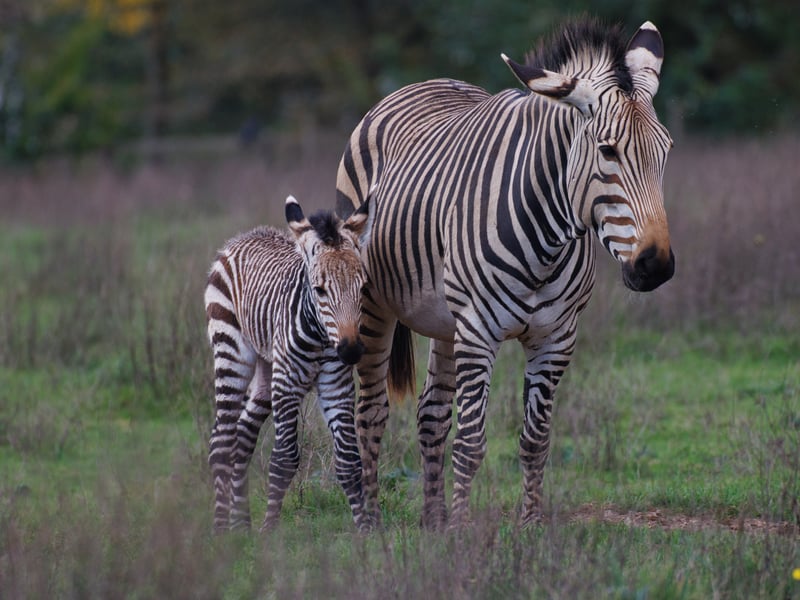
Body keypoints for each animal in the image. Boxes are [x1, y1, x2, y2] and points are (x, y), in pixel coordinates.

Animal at [205, 195, 372, 532]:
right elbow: (283, 459)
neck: (321, 337)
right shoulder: (288, 385)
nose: (350, 351)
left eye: (362, 288)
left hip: (267, 371)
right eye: (320, 290)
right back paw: (220, 529)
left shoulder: (337, 386)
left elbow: (349, 459)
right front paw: (270, 530)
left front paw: (368, 532)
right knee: (222, 441)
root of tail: (247, 235)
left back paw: (241, 526)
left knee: (242, 438)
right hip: (232, 351)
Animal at [336, 18, 674, 530]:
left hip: (445, 322)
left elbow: (535, 440)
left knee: (432, 413)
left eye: (666, 151)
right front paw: (461, 533)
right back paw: (370, 523)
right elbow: (472, 443)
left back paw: (432, 519)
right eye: (608, 151)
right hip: (374, 305)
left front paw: (528, 526)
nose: (656, 266)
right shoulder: (478, 330)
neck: (547, 242)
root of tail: (426, 81)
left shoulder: (556, 339)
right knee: (371, 412)